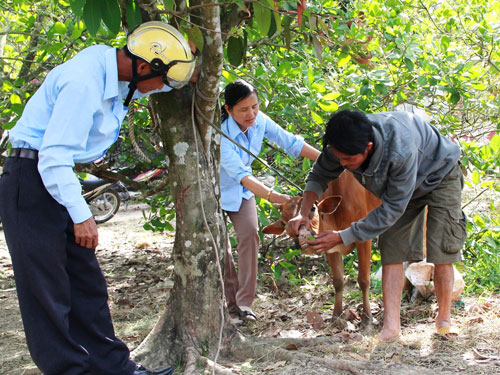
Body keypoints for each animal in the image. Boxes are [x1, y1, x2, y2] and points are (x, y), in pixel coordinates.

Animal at [262, 172, 378, 322]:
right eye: (283, 222)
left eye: (313, 208)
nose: (302, 238)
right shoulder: (331, 247)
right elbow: (338, 282)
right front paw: (336, 316)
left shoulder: (363, 238)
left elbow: (363, 280)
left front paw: (367, 318)